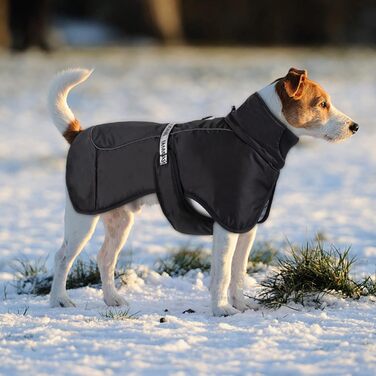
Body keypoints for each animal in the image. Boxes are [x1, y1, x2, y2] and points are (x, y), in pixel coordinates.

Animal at [47, 68, 358, 318]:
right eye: (322, 104)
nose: (355, 126)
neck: (250, 137)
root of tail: (78, 134)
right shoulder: (226, 224)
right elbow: (222, 272)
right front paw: (221, 309)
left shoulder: (246, 225)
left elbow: (239, 272)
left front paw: (241, 305)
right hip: (82, 218)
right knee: (62, 257)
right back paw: (59, 300)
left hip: (120, 220)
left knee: (105, 258)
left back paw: (112, 299)